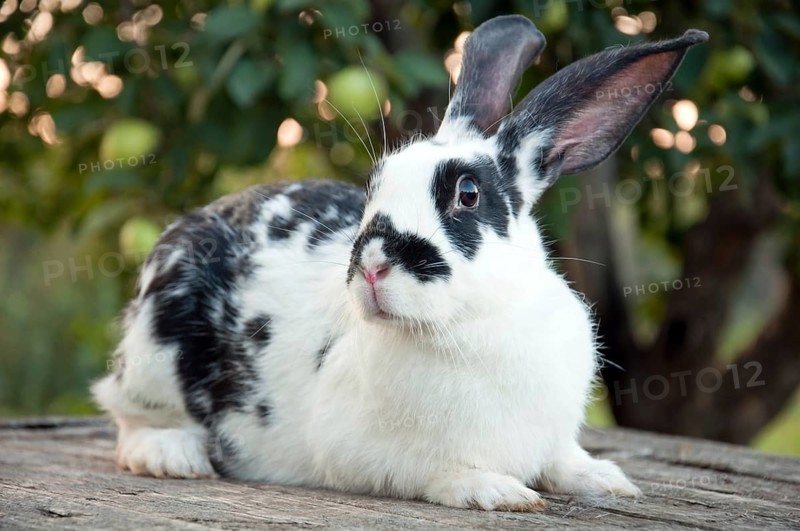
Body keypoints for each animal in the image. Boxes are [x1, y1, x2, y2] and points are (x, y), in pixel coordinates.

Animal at [92, 15, 708, 511]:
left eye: (467, 194)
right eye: (374, 186)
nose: (371, 267)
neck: (469, 325)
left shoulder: (550, 433)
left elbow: (562, 459)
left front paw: (606, 479)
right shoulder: (360, 452)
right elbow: (433, 470)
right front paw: (496, 491)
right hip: (154, 349)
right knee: (129, 414)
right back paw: (173, 456)